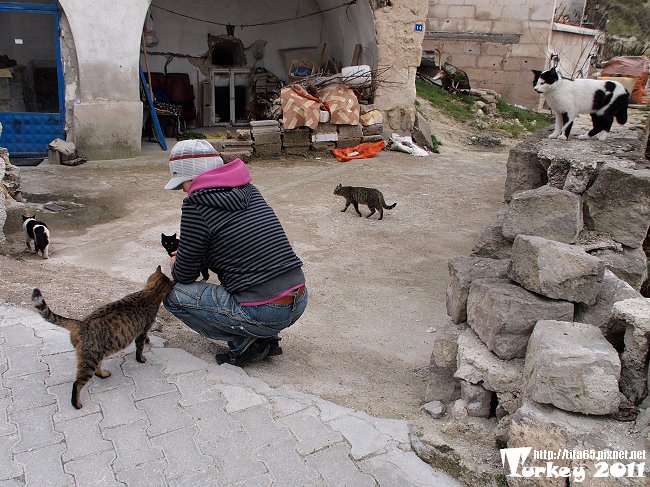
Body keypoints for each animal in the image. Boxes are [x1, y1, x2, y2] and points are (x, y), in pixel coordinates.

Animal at [31, 264, 173, 410]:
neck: (150, 292)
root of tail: (81, 323)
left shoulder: (142, 331)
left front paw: (148, 340)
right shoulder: (143, 330)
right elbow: (140, 348)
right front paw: (141, 358)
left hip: (97, 355)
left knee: (97, 371)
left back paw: (104, 374)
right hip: (89, 361)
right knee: (77, 383)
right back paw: (76, 403)